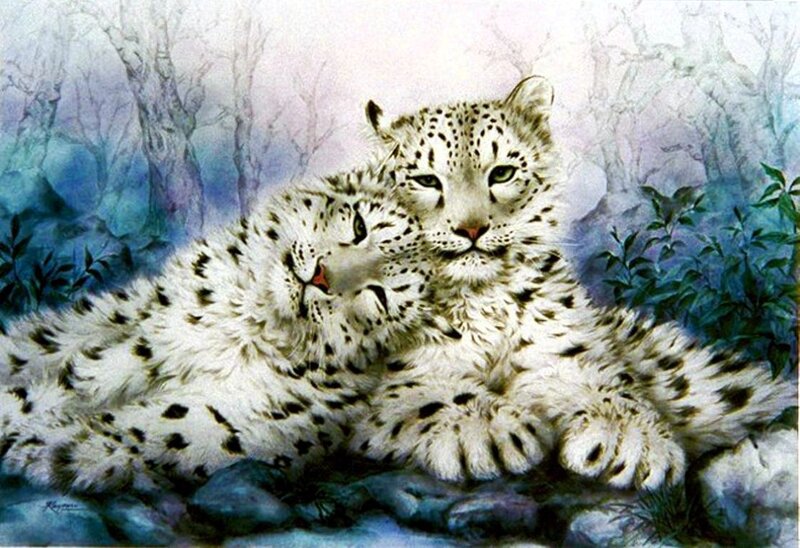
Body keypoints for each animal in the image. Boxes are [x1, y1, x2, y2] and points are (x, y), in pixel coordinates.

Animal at [0, 168, 440, 493]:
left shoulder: (251, 411)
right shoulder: (145, 327)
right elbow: (59, 355)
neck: (249, 316)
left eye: (380, 296)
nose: (320, 277)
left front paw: (47, 440)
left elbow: (163, 422)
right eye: (359, 226)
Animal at [349, 76, 796, 490]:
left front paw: (628, 438)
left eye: (502, 173)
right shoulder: (399, 376)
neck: (486, 301)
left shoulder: (563, 355)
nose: (471, 228)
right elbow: (430, 392)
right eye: (426, 180)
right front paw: (489, 429)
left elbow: (609, 386)